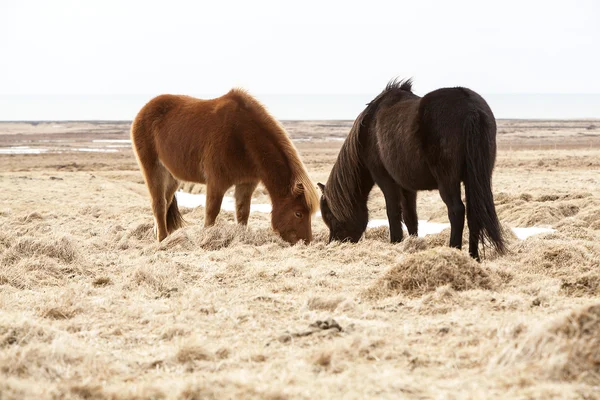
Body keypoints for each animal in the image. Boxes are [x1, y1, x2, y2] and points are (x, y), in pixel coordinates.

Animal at [131, 90, 318, 244]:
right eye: (298, 213)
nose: (306, 242)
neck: (243, 137)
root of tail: (145, 109)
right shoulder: (216, 182)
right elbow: (211, 212)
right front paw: (206, 239)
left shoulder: (246, 183)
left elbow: (243, 212)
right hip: (153, 169)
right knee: (159, 204)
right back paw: (162, 240)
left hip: (172, 176)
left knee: (166, 201)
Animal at [318, 78, 506, 260]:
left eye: (330, 216)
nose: (334, 243)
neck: (367, 131)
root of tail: (471, 109)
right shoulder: (407, 186)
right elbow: (410, 216)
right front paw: (413, 243)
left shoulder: (386, 180)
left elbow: (393, 212)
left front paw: (395, 241)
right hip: (475, 179)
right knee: (475, 214)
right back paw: (474, 257)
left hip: (448, 181)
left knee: (457, 211)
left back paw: (454, 250)